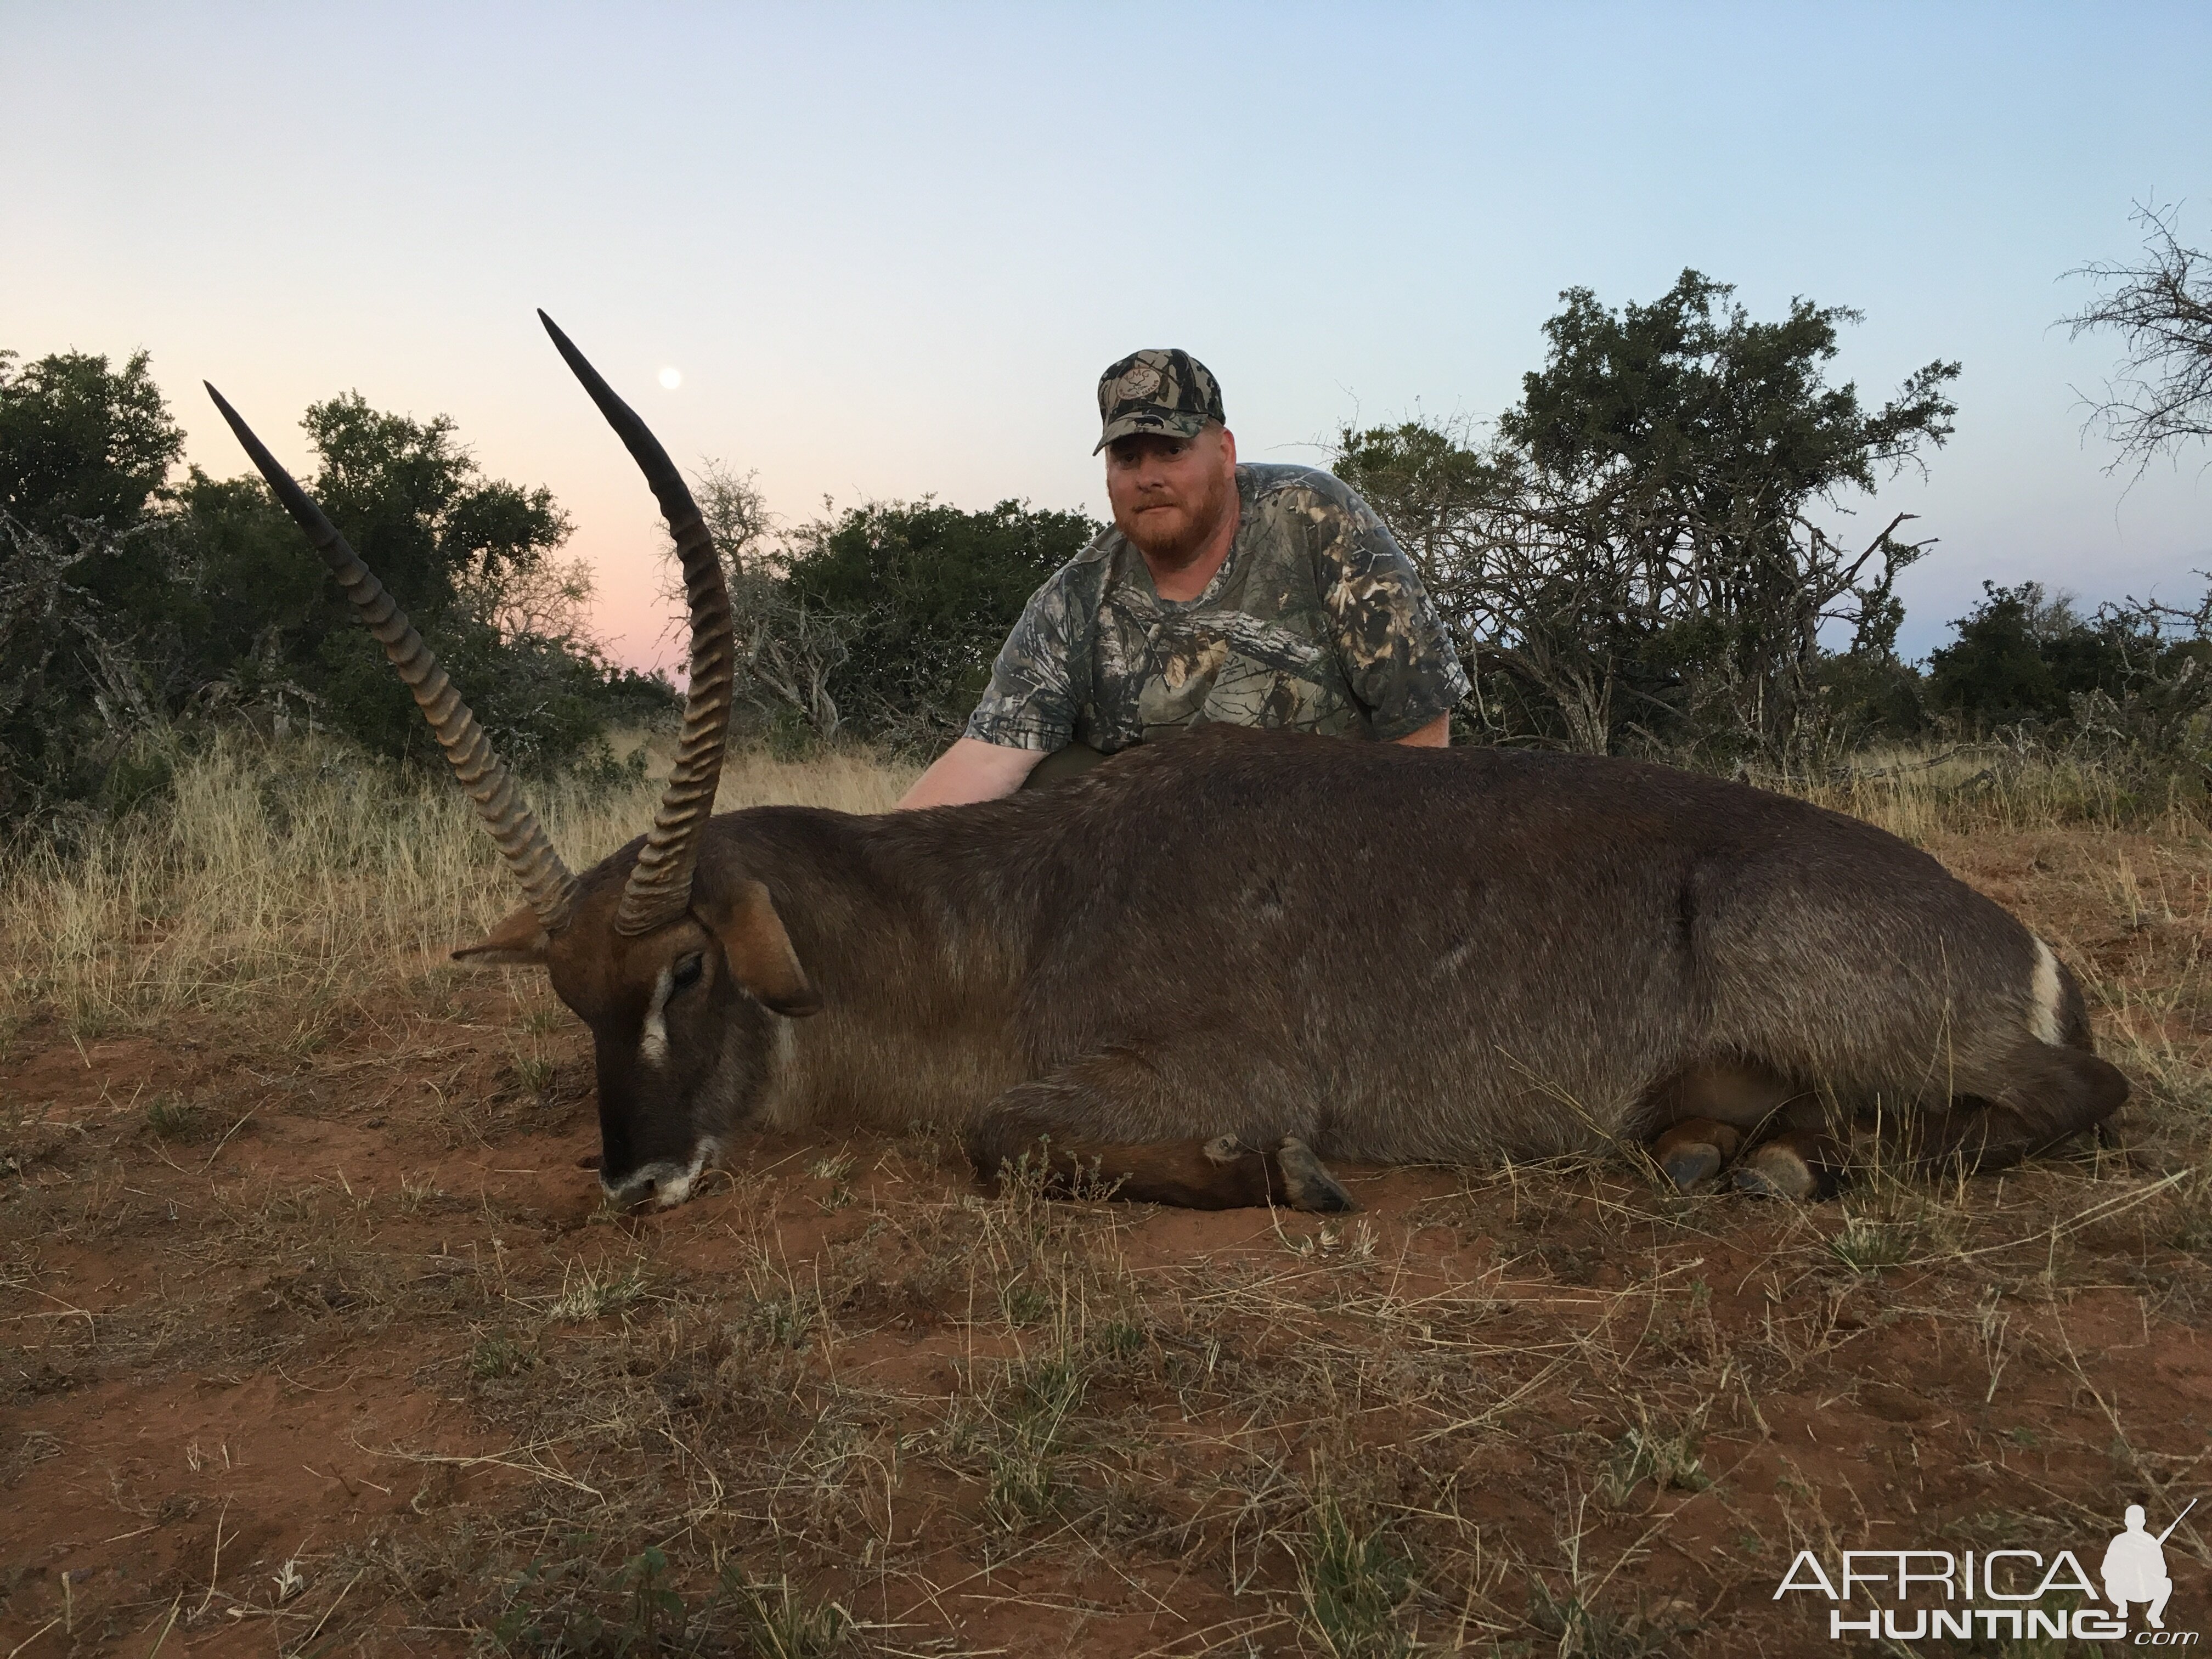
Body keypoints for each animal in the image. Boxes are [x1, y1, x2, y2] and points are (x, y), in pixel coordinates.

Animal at [208, 318, 2123, 1212]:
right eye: (571, 999)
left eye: (686, 968)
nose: (633, 1176)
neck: (999, 918)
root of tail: (2029, 947)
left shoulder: (1195, 1073)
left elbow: (1008, 1136)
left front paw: (1288, 1179)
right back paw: (1729, 1151)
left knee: (2076, 1105)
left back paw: (1794, 1166)